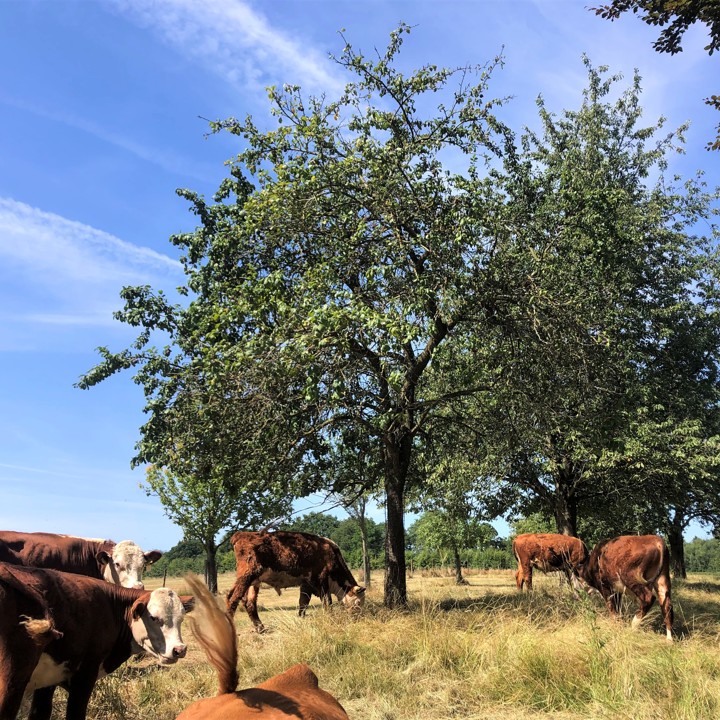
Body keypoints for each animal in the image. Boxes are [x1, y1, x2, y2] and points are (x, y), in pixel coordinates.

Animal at [226, 532, 366, 632]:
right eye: (358, 602)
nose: (359, 618)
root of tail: (242, 534)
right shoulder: (321, 580)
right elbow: (327, 602)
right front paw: (330, 619)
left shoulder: (306, 585)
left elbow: (303, 602)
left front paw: (301, 618)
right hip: (247, 575)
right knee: (232, 598)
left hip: (254, 581)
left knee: (249, 602)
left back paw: (260, 628)